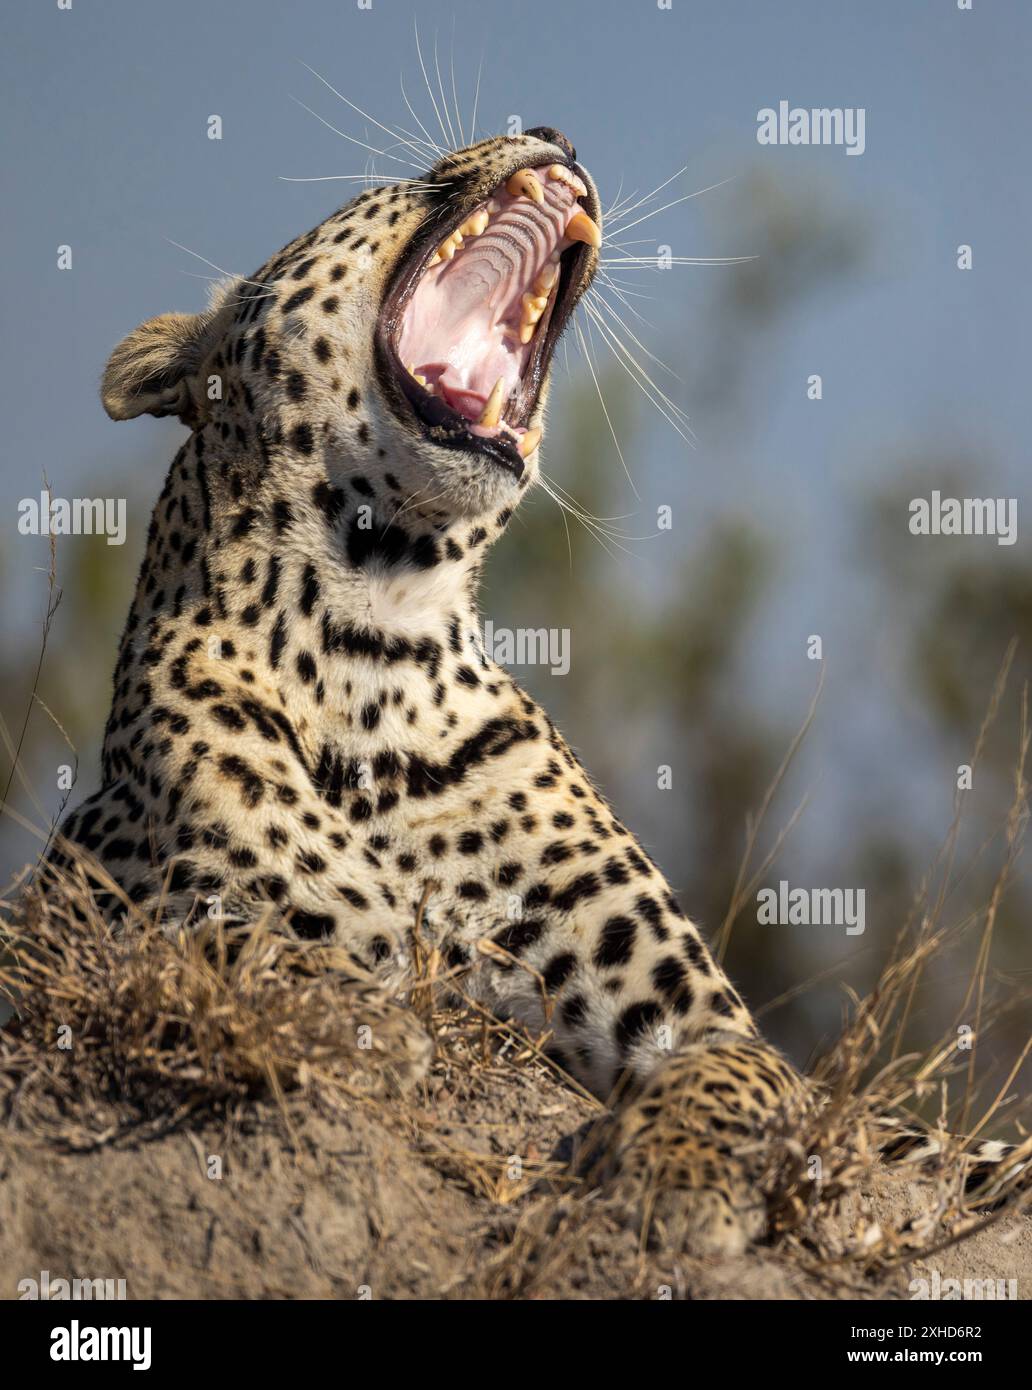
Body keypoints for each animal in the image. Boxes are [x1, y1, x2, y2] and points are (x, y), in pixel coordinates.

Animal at [54, 127, 1029, 1262]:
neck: (367, 638)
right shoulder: (180, 913)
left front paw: (671, 1184)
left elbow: (725, 1074)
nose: (557, 133)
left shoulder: (697, 1017)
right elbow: (282, 964)